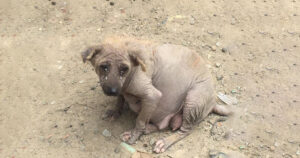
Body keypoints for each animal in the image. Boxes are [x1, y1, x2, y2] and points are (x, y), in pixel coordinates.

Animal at [82, 36, 232, 153]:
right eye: (104, 67)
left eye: (124, 69)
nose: (112, 91)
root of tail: (213, 102)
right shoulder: (122, 89)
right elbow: (120, 100)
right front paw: (115, 111)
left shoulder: (152, 96)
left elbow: (139, 120)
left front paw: (134, 135)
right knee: (161, 125)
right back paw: (146, 130)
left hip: (193, 100)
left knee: (185, 130)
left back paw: (163, 141)